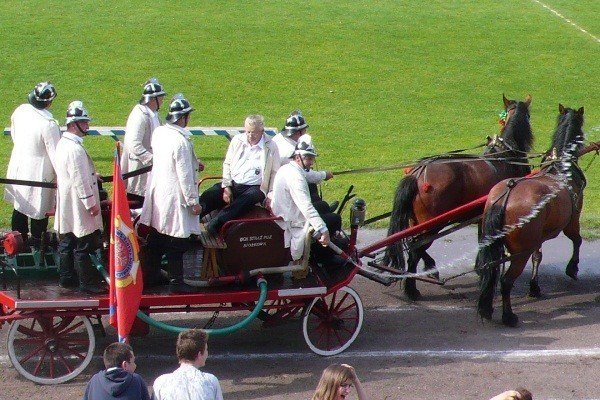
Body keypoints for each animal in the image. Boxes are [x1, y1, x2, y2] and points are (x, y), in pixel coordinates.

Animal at [384, 95, 536, 298]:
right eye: (529, 116)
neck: (506, 155)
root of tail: (417, 174)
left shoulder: (483, 216)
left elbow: (482, 240)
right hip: (432, 224)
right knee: (416, 250)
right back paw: (412, 288)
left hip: (416, 222)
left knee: (412, 244)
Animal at [476, 104, 584, 326]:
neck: (561, 168)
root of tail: (506, 193)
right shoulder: (572, 220)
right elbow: (577, 240)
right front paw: (572, 267)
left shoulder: (539, 234)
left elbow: (538, 256)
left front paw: (534, 287)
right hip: (520, 251)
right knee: (506, 281)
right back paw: (509, 316)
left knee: (490, 271)